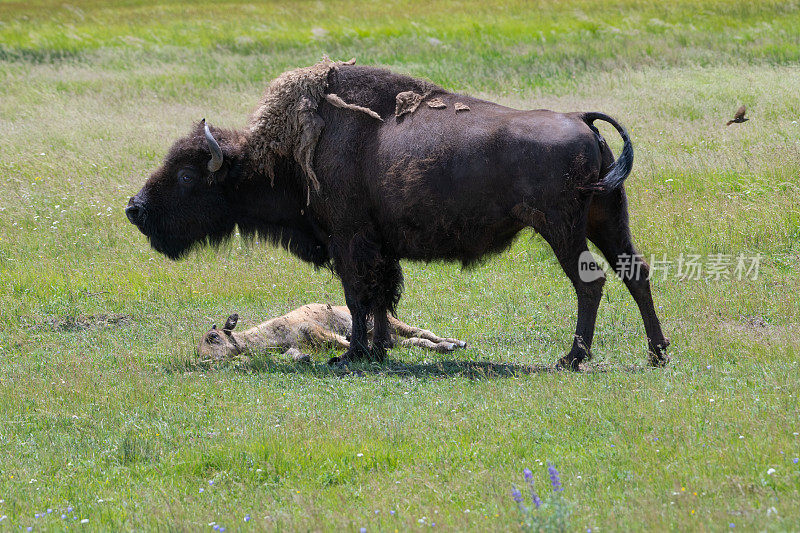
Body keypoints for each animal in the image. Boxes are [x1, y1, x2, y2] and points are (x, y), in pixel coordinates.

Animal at [128, 57, 672, 366]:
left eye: (186, 175)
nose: (135, 209)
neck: (288, 153)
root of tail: (582, 119)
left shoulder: (349, 241)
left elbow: (358, 298)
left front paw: (352, 356)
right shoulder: (379, 247)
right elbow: (382, 300)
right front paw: (380, 348)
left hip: (562, 228)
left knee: (590, 281)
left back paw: (572, 358)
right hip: (607, 218)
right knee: (635, 272)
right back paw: (658, 354)